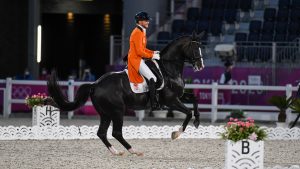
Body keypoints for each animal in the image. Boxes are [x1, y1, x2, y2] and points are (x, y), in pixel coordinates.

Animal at [47, 33, 205, 156]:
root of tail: (95, 84)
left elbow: (195, 99)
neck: (168, 69)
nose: (200, 66)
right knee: (116, 132)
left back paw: (116, 151)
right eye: (195, 48)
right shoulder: (170, 100)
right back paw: (134, 150)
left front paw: (197, 121)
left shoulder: (179, 95)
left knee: (102, 133)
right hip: (117, 110)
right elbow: (188, 112)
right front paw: (176, 133)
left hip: (106, 113)